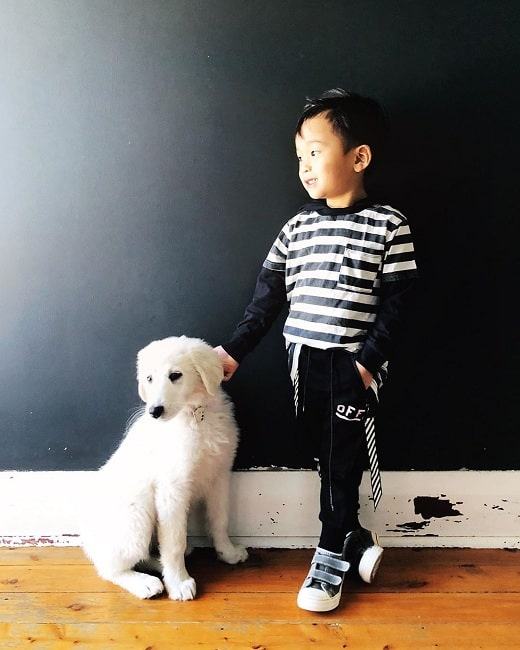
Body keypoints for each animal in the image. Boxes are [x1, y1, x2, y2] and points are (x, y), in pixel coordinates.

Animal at [82, 336, 249, 600]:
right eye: (149, 378)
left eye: (175, 375)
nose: (154, 411)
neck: (194, 416)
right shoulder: (172, 489)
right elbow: (174, 542)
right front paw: (179, 583)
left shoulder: (219, 476)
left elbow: (219, 520)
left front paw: (228, 553)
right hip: (137, 515)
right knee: (110, 568)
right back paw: (144, 583)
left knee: (145, 553)